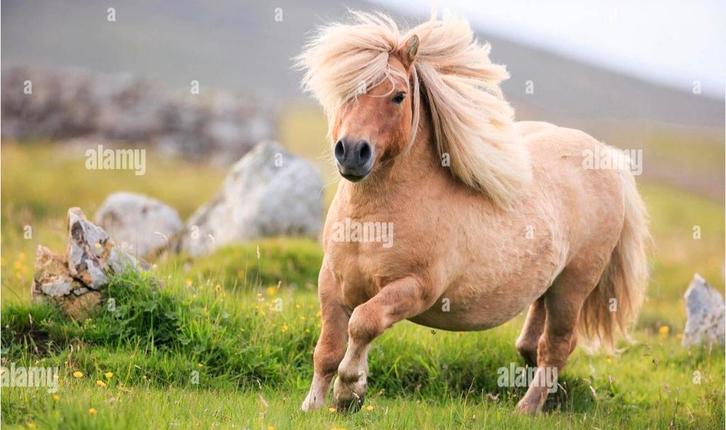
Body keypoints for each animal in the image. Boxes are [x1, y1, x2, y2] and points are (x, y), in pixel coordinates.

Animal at [295, 11, 649, 414]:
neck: (372, 222)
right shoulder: (331, 283)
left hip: (573, 286)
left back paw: (526, 409)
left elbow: (363, 323)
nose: (353, 152)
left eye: (399, 96)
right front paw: (312, 405)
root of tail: (607, 157)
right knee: (534, 344)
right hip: (549, 285)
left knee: (556, 346)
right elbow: (327, 349)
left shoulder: (415, 288)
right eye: (347, 91)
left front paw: (349, 390)